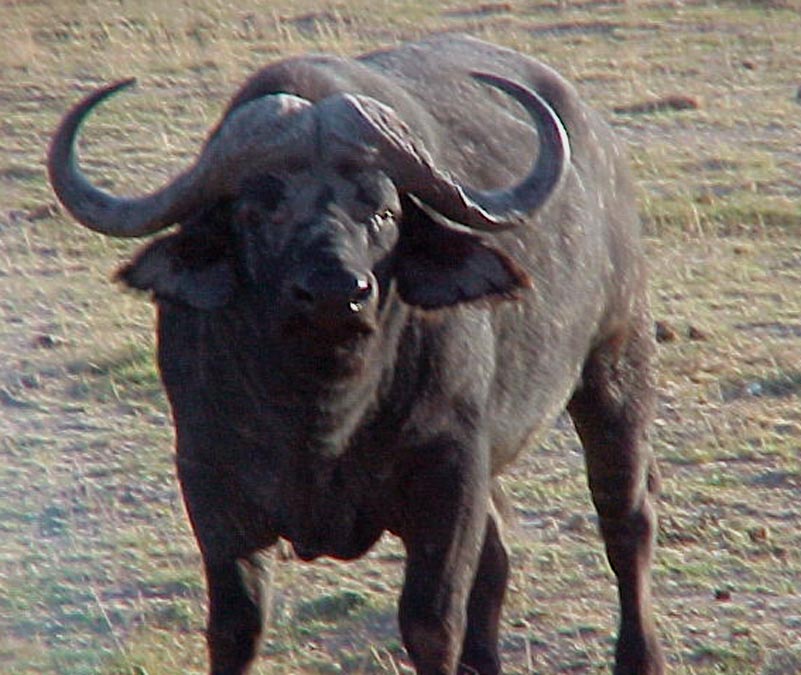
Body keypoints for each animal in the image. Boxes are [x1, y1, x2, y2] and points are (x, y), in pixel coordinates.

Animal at [48, 34, 664, 675]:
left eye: (383, 211)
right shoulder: (210, 485)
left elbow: (431, 622)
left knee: (626, 519)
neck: (324, 411)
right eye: (256, 211)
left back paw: (640, 652)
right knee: (498, 555)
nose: (334, 292)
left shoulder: (449, 477)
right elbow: (236, 627)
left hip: (618, 366)